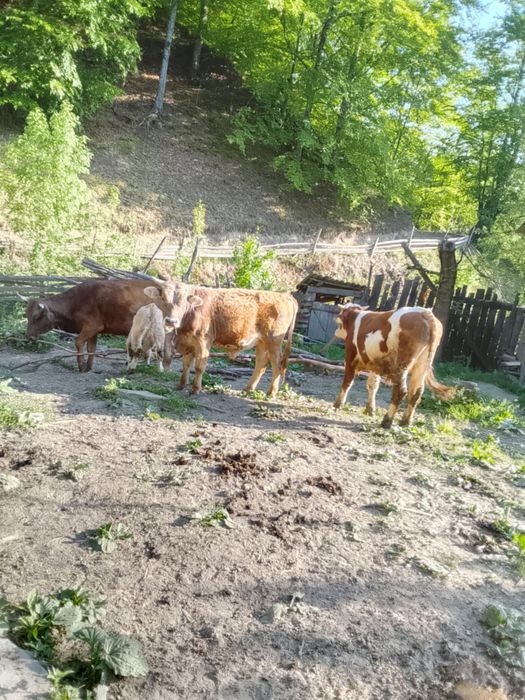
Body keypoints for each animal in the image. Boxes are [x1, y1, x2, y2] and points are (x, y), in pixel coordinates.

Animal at [26, 279, 180, 372]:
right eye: (26, 315)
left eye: (37, 316)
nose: (29, 337)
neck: (74, 302)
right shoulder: (94, 331)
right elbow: (91, 348)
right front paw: (88, 367)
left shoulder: (91, 326)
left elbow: (78, 343)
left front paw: (81, 366)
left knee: (166, 350)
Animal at [146, 280, 298, 396]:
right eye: (163, 298)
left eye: (184, 302)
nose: (171, 321)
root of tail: (284, 295)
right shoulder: (189, 342)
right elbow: (186, 364)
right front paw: (181, 384)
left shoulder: (203, 341)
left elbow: (199, 366)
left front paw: (195, 389)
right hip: (262, 343)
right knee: (261, 364)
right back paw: (248, 389)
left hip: (274, 341)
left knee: (277, 366)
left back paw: (271, 393)